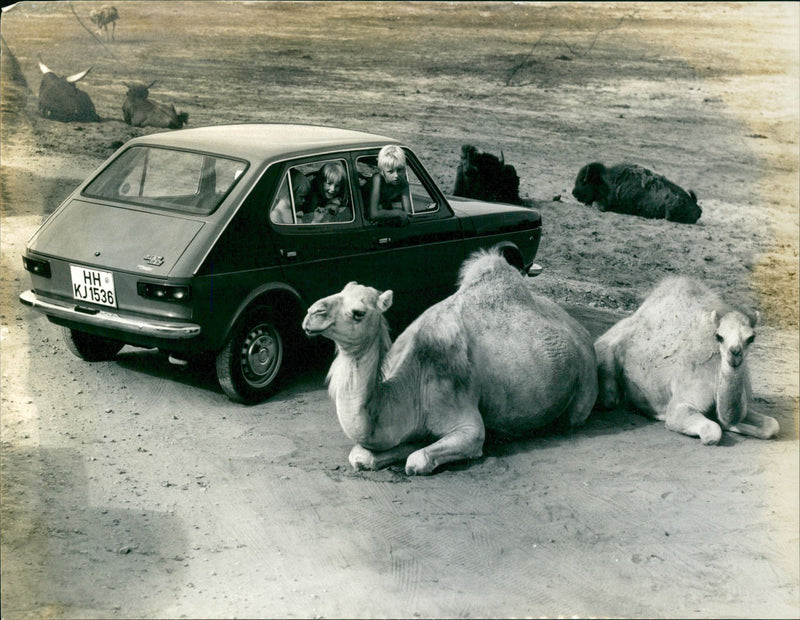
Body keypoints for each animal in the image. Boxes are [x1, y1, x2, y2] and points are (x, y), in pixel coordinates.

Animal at [304, 247, 596, 474]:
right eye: (339, 291)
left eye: (358, 312)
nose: (311, 313)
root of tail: (582, 332)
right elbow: (361, 456)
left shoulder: (467, 423)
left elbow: (417, 461)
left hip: (584, 385)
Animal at [596, 278, 780, 446]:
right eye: (719, 336)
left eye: (751, 338)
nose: (734, 353)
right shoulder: (681, 403)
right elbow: (711, 431)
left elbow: (772, 425)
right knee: (610, 398)